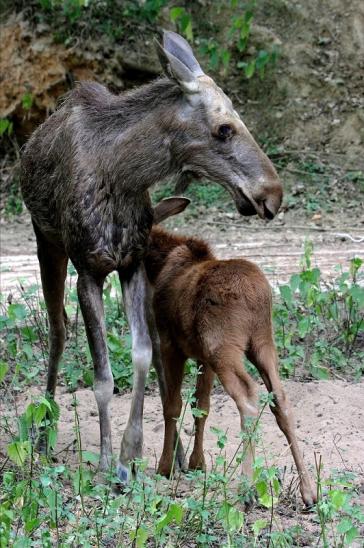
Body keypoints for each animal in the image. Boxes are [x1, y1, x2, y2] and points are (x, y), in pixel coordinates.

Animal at [19, 31, 282, 484]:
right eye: (223, 128)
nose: (273, 193)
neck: (122, 177)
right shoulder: (89, 270)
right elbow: (103, 376)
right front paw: (107, 463)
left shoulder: (132, 265)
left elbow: (143, 354)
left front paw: (132, 456)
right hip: (46, 242)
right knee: (57, 330)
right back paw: (42, 436)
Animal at [146, 199, 318, 508]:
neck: (158, 264)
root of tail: (257, 297)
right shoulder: (202, 357)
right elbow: (201, 406)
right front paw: (197, 463)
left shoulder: (170, 344)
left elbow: (172, 405)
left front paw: (166, 467)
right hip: (263, 343)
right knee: (280, 400)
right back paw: (308, 490)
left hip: (223, 348)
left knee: (249, 399)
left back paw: (247, 489)